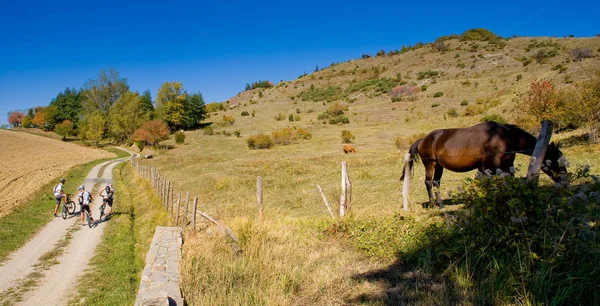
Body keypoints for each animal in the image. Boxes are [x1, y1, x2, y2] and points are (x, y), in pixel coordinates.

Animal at [400, 120, 564, 207]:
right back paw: (433, 204)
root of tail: (423, 139)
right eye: (556, 161)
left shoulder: (503, 165)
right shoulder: (492, 164)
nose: (565, 181)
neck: (504, 136)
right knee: (428, 182)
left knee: (436, 182)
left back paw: (440, 205)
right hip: (430, 164)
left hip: (439, 166)